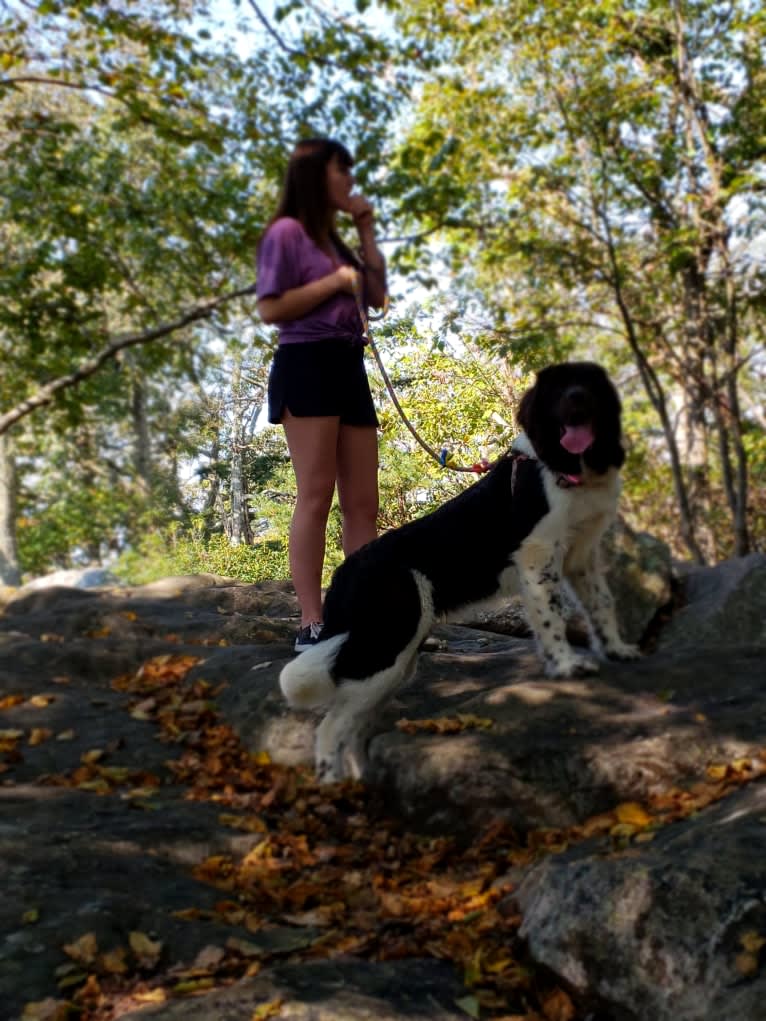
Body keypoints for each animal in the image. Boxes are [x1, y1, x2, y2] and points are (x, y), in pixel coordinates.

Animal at [281, 361, 641, 780]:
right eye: (557, 387)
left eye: (589, 382)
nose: (576, 398)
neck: (559, 467)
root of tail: (346, 570)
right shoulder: (538, 554)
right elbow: (552, 615)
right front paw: (567, 665)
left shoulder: (581, 556)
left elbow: (602, 603)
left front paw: (616, 649)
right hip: (388, 643)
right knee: (330, 727)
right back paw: (334, 784)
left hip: (396, 661)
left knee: (352, 727)